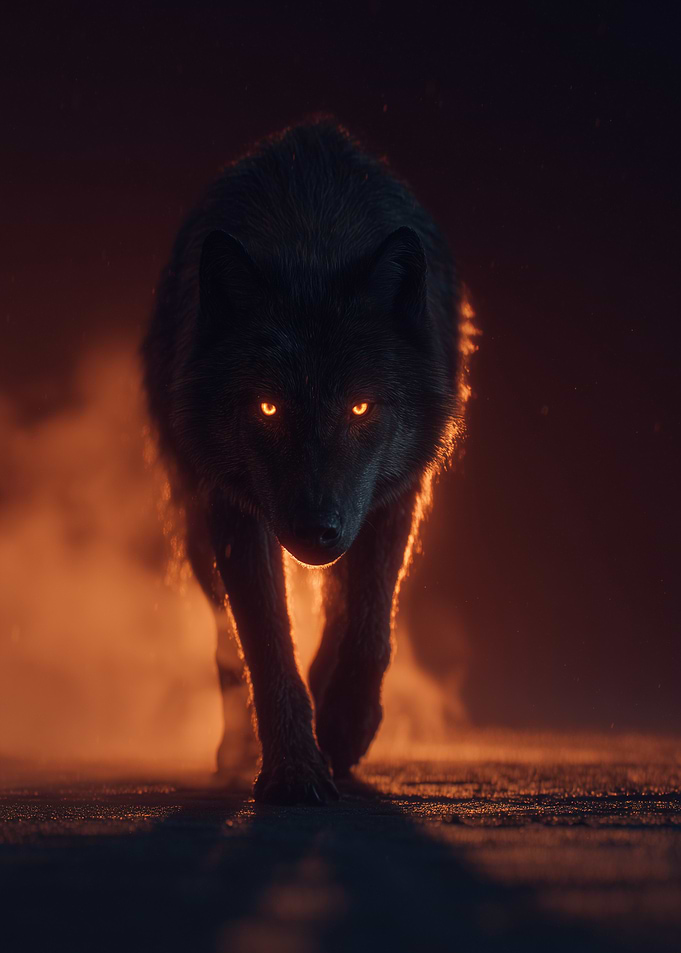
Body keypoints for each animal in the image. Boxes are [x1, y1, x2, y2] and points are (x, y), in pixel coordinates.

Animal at [142, 117, 460, 804]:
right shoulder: (229, 509)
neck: (312, 241)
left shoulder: (396, 498)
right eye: (267, 407)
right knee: (226, 644)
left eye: (361, 407)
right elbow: (264, 644)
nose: (317, 529)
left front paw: (343, 727)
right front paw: (292, 769)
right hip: (196, 525)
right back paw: (238, 750)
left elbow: (369, 623)